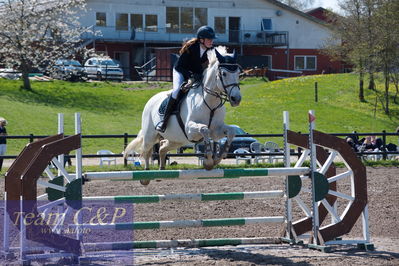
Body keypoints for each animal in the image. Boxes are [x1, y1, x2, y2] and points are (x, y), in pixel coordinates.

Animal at [125, 47, 242, 180]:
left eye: (238, 73)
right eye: (224, 73)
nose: (236, 99)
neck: (209, 101)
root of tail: (151, 100)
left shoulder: (216, 131)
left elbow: (231, 131)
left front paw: (218, 158)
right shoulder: (190, 130)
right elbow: (204, 129)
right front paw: (208, 161)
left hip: (177, 140)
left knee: (162, 148)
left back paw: (161, 170)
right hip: (150, 135)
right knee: (146, 152)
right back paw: (146, 176)